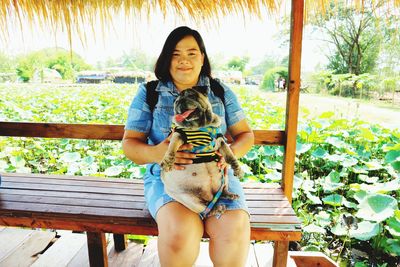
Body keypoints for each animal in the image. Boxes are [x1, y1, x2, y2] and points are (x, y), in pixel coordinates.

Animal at [160, 87, 244, 219]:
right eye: (176, 101)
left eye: (191, 95)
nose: (179, 101)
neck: (200, 126)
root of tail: (210, 195)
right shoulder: (178, 135)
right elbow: (172, 147)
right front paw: (168, 162)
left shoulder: (220, 141)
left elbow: (230, 156)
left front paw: (238, 169)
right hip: (189, 200)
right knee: (205, 209)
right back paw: (216, 209)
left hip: (224, 178)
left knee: (222, 190)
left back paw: (228, 194)